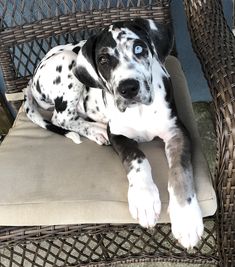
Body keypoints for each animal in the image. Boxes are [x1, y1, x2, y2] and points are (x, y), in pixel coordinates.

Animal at [24, 18, 204, 249]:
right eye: (103, 60)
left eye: (139, 48)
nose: (128, 88)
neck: (140, 110)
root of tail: (33, 77)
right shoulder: (118, 135)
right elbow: (137, 158)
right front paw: (144, 198)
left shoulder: (177, 131)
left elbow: (180, 170)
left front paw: (186, 219)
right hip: (68, 63)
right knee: (60, 118)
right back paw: (96, 130)